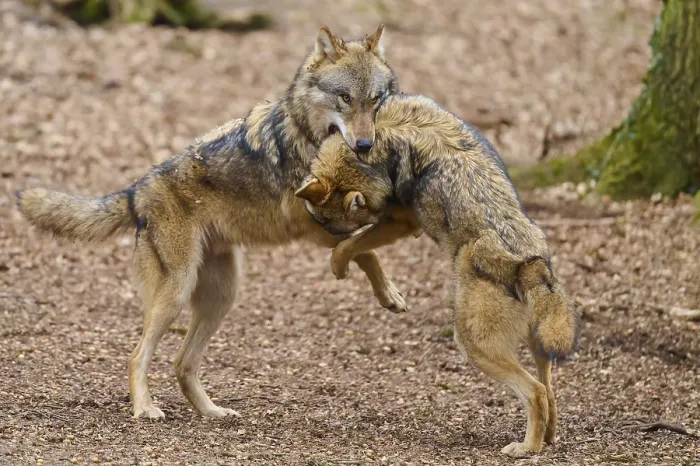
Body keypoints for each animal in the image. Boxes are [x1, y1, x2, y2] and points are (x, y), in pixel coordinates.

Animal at [15, 24, 404, 420]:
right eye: (344, 97)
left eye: (375, 100)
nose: (364, 144)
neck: (308, 134)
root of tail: (136, 190)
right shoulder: (315, 225)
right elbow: (362, 248)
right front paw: (389, 293)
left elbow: (367, 239)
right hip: (177, 293)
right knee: (137, 356)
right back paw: (145, 409)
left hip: (221, 297)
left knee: (181, 363)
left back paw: (213, 412)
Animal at [295, 93, 581, 457]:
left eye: (330, 224)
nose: (315, 236)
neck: (378, 140)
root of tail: (529, 262)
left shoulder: (401, 223)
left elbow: (349, 247)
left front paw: (340, 267)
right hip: (540, 347)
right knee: (551, 392)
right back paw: (547, 439)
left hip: (473, 345)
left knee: (535, 392)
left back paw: (526, 448)